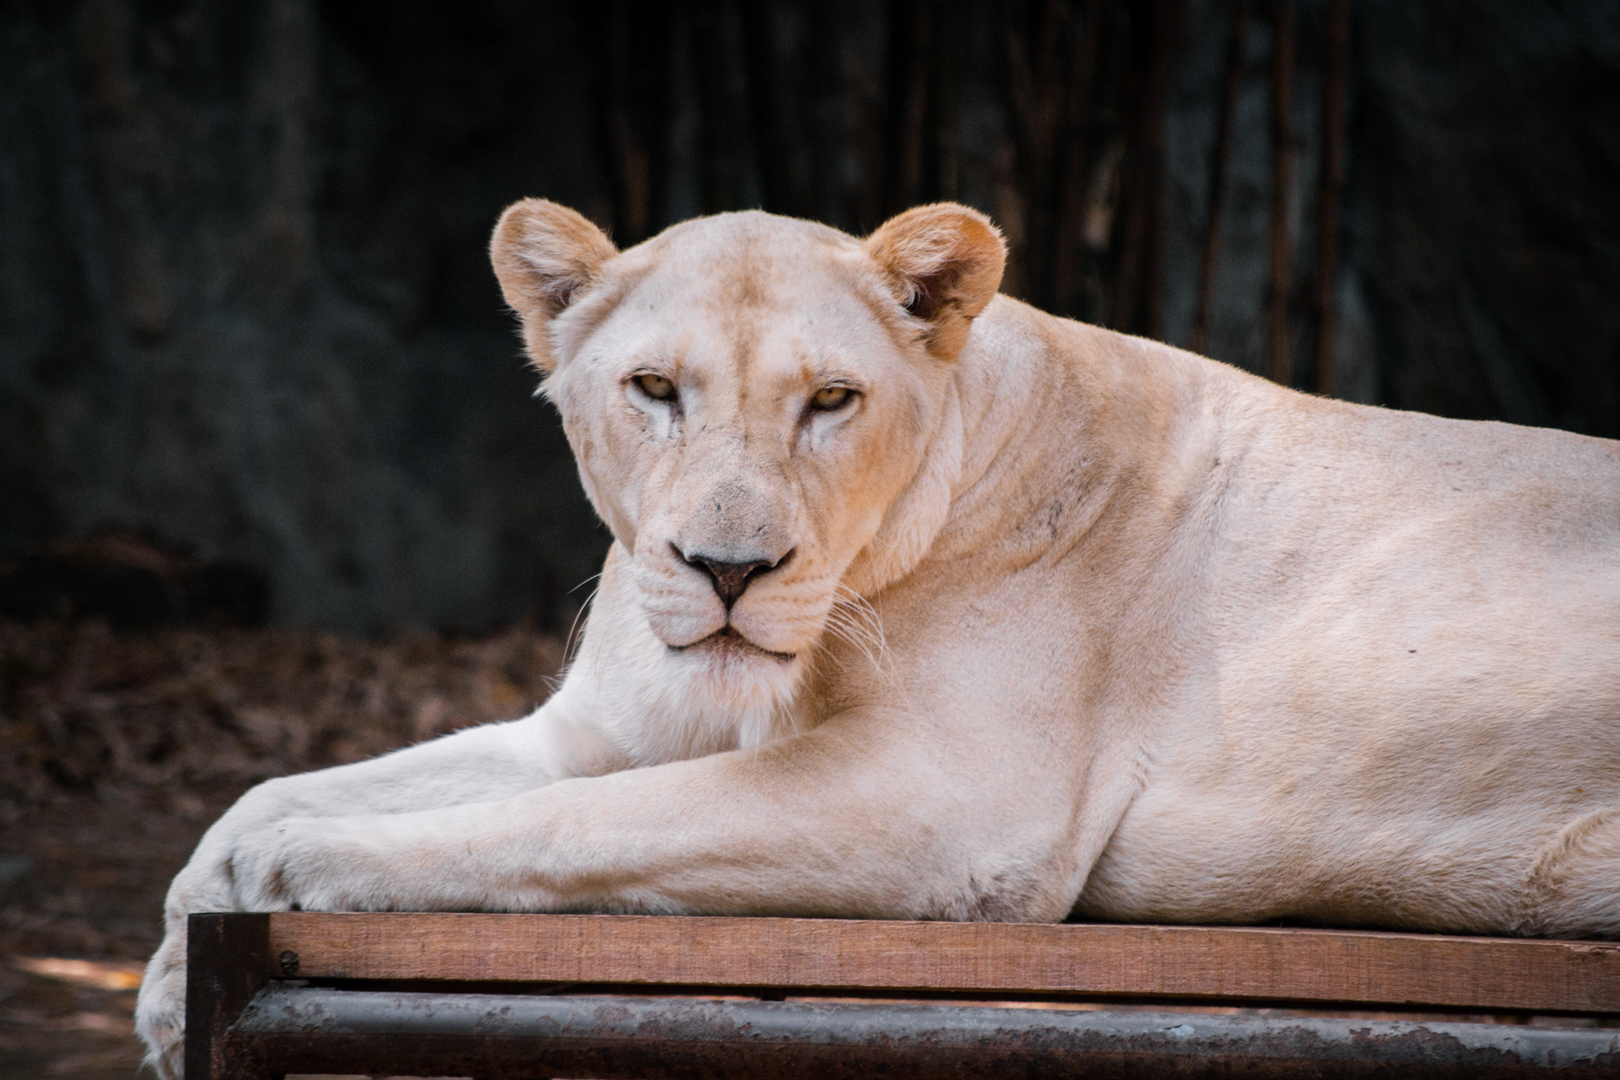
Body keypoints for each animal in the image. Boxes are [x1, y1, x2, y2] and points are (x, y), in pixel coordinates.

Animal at [135, 199, 1620, 1075]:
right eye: (654, 389)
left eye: (832, 400)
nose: (729, 571)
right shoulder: (594, 730)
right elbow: (276, 785)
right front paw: (174, 968)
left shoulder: (955, 811)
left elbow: (554, 829)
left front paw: (303, 871)